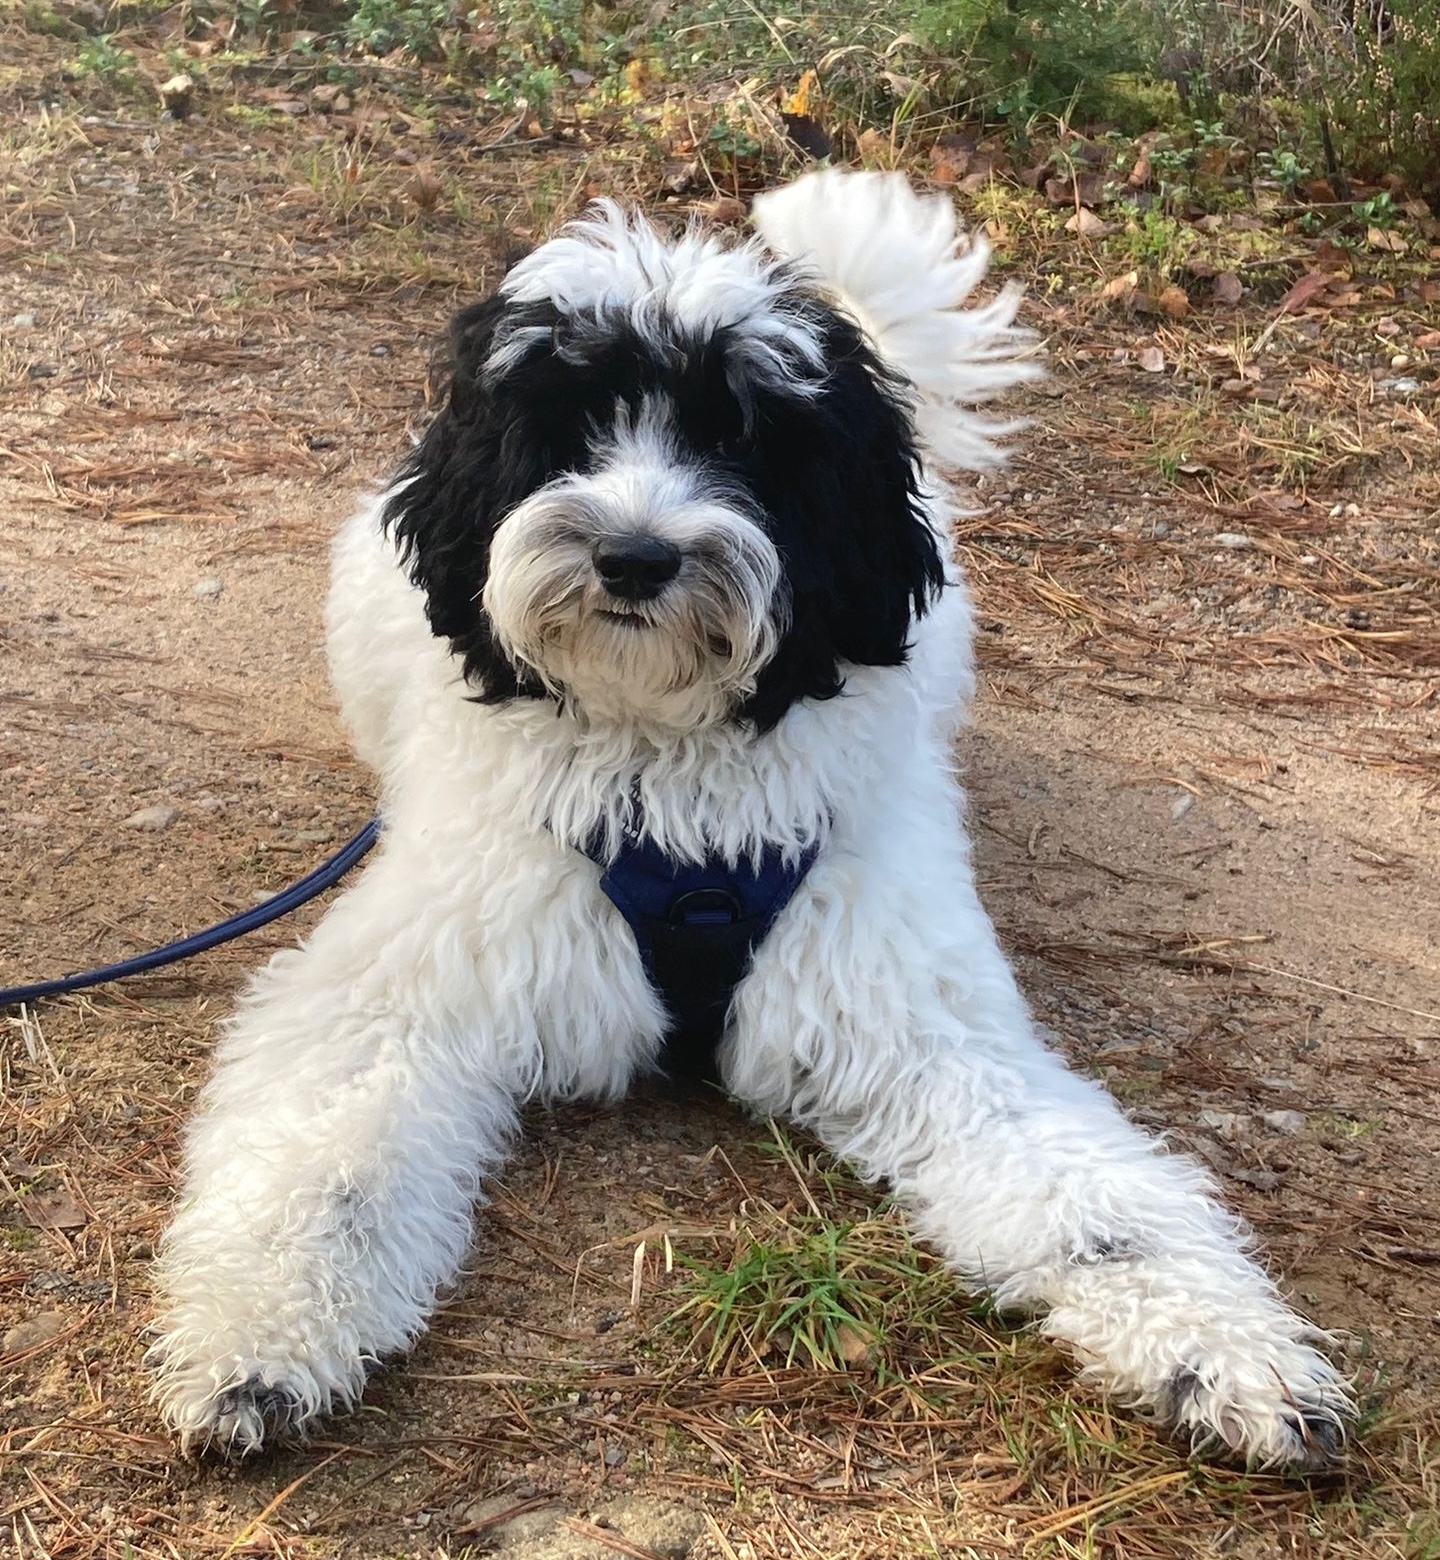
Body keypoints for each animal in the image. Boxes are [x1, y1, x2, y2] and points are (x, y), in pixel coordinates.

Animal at [150, 169, 1352, 1468]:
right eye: (569, 430)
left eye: (744, 441)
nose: (634, 558)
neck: (670, 775)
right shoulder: (400, 993)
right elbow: (326, 1175)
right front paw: (257, 1337)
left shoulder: (921, 1020)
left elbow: (1097, 1205)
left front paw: (1221, 1347)